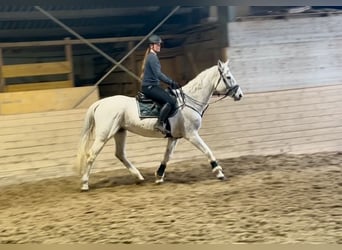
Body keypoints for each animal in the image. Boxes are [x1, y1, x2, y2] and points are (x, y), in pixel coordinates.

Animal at [75, 59, 243, 190]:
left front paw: (159, 176)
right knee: (91, 155)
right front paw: (219, 172)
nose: (240, 94)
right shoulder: (192, 134)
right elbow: (207, 151)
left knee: (120, 154)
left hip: (120, 132)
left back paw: (139, 176)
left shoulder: (174, 137)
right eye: (228, 77)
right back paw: (85, 184)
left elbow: (167, 156)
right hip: (104, 135)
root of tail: (100, 103)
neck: (190, 100)